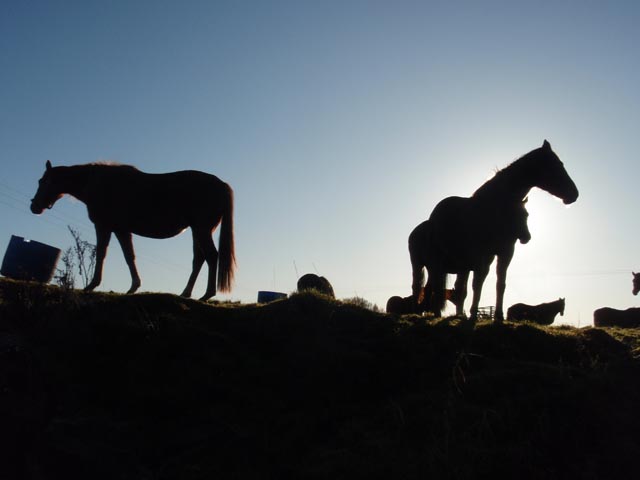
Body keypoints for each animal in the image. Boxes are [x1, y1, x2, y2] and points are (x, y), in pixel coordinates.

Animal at [30, 161, 235, 300]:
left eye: (42, 181)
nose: (34, 206)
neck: (98, 184)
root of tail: (222, 185)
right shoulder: (121, 230)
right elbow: (129, 256)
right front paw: (134, 286)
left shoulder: (104, 226)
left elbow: (102, 253)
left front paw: (92, 285)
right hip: (197, 231)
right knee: (199, 259)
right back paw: (186, 293)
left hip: (201, 229)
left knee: (211, 256)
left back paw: (207, 295)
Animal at [410, 141, 580, 324]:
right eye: (556, 165)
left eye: (526, 215)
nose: (574, 194)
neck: (494, 208)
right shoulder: (480, 256)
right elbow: (477, 284)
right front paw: (473, 314)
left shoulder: (504, 253)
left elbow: (500, 283)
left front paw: (498, 315)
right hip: (427, 263)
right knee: (424, 287)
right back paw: (426, 313)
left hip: (439, 265)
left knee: (432, 288)